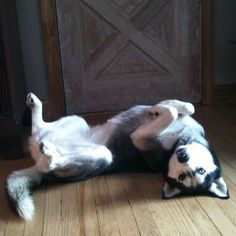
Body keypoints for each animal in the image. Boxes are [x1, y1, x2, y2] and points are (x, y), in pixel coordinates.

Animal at [6, 92, 229, 219]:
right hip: (75, 120)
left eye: (186, 176)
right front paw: (159, 109)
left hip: (103, 156)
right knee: (38, 129)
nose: (182, 157)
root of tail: (37, 165)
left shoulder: (139, 138)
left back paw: (50, 154)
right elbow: (183, 107)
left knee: (49, 161)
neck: (179, 142)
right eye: (199, 171)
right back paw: (35, 106)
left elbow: (172, 112)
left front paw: (163, 111)